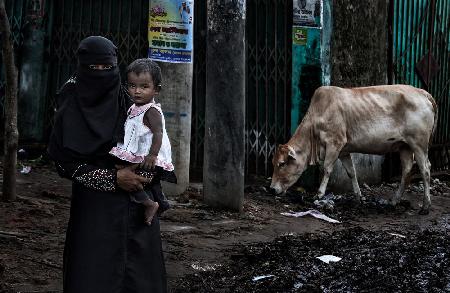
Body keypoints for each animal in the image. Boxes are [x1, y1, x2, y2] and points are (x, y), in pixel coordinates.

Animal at [268, 83, 438, 213]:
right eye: (273, 163)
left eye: (282, 163)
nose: (271, 189)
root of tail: (422, 92)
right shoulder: (344, 151)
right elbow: (352, 172)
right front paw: (358, 197)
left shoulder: (335, 143)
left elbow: (327, 168)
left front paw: (319, 194)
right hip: (405, 146)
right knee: (407, 170)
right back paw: (394, 201)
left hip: (419, 144)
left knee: (425, 169)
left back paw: (426, 206)